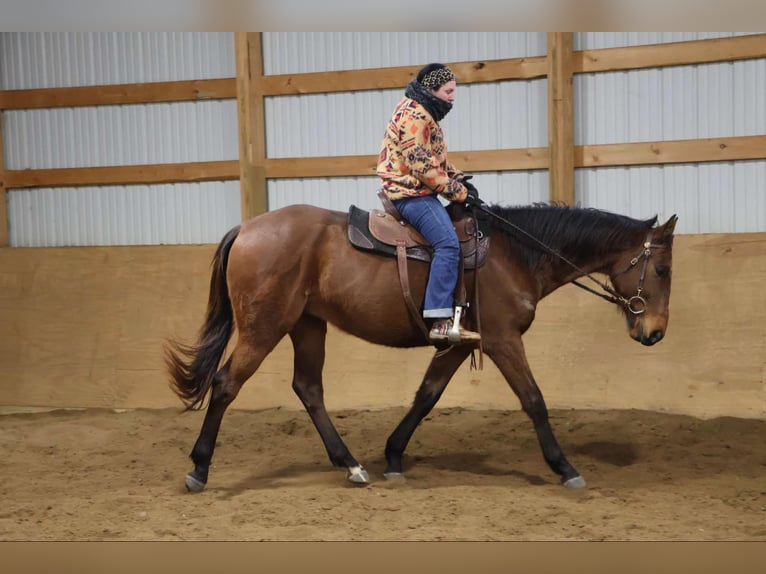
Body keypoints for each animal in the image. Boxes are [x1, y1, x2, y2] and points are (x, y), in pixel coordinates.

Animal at [166, 200, 680, 492]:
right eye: (661, 270)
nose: (655, 332)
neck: (514, 254)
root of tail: (247, 229)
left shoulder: (456, 345)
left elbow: (427, 396)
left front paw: (394, 456)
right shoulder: (503, 339)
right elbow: (534, 400)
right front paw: (564, 467)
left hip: (308, 326)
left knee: (308, 388)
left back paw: (351, 465)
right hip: (265, 327)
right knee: (226, 384)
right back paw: (199, 469)